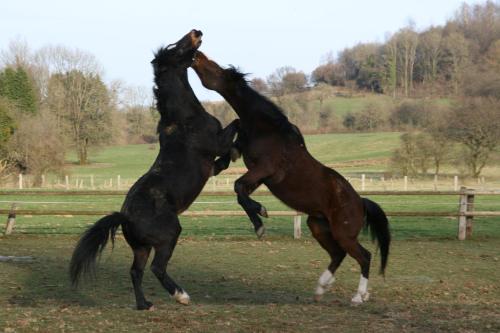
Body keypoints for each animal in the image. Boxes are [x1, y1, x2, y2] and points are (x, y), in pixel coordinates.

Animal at [70, 29, 240, 310]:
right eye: (175, 48)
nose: (197, 32)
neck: (184, 118)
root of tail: (125, 216)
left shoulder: (212, 159)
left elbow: (223, 160)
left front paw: (230, 159)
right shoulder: (217, 143)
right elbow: (236, 125)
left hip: (142, 247)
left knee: (135, 272)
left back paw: (144, 304)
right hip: (169, 235)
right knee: (157, 268)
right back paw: (181, 295)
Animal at [191, 51, 390, 304]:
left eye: (216, 69)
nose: (197, 55)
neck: (268, 130)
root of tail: (360, 202)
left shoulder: (264, 170)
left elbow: (238, 187)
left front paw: (261, 221)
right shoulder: (259, 176)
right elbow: (240, 190)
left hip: (343, 233)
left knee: (364, 256)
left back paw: (358, 296)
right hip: (317, 225)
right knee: (338, 254)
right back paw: (321, 287)